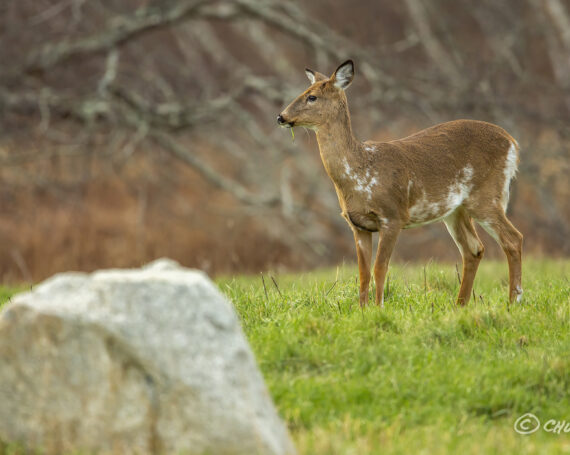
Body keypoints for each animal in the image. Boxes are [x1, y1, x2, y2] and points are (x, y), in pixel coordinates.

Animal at [278, 59, 520, 306]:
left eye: (312, 97)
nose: (281, 117)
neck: (360, 173)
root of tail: (512, 142)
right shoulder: (358, 225)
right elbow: (363, 273)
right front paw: (363, 309)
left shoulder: (393, 216)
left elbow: (380, 269)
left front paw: (378, 307)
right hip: (455, 210)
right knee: (474, 249)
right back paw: (460, 305)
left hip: (486, 195)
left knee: (512, 239)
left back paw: (513, 301)